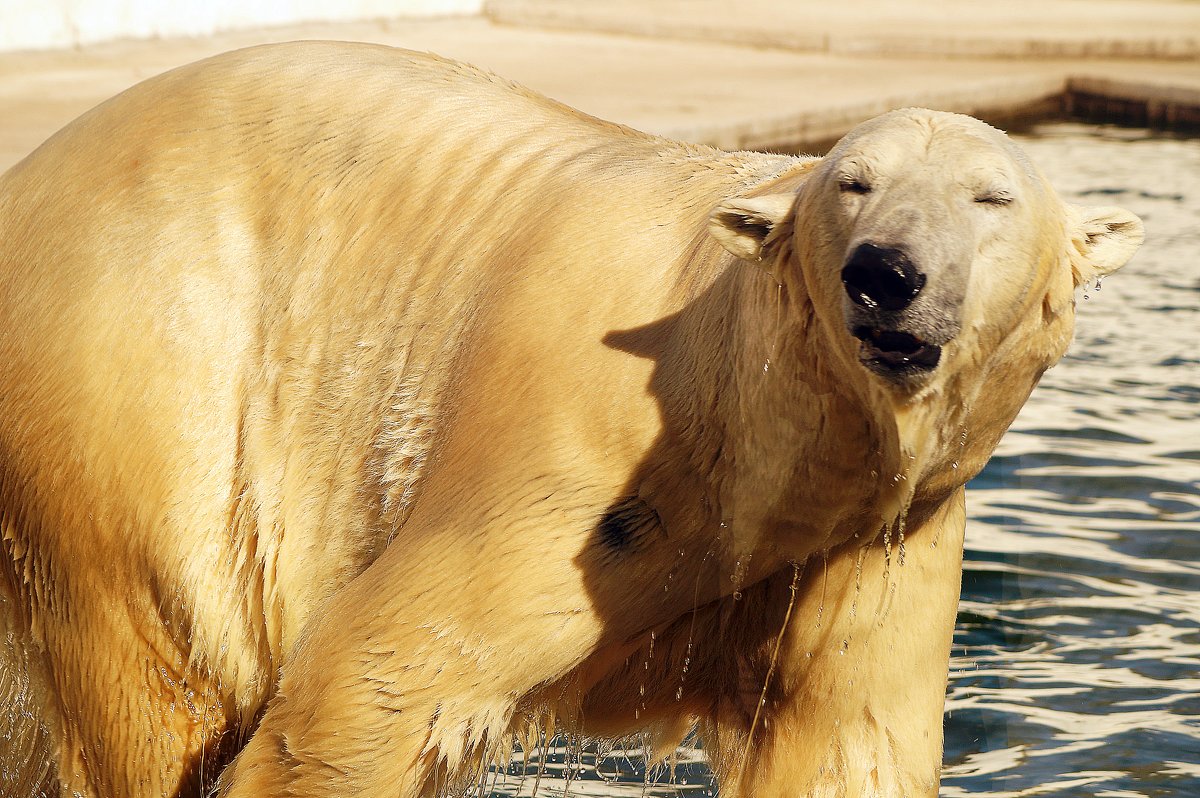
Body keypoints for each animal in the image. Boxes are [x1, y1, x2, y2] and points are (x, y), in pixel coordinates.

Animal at [0, 42, 1142, 796]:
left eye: (992, 199)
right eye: (852, 185)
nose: (886, 274)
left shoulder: (870, 541)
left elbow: (845, 746)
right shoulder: (578, 461)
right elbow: (367, 686)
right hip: (134, 372)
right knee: (161, 678)